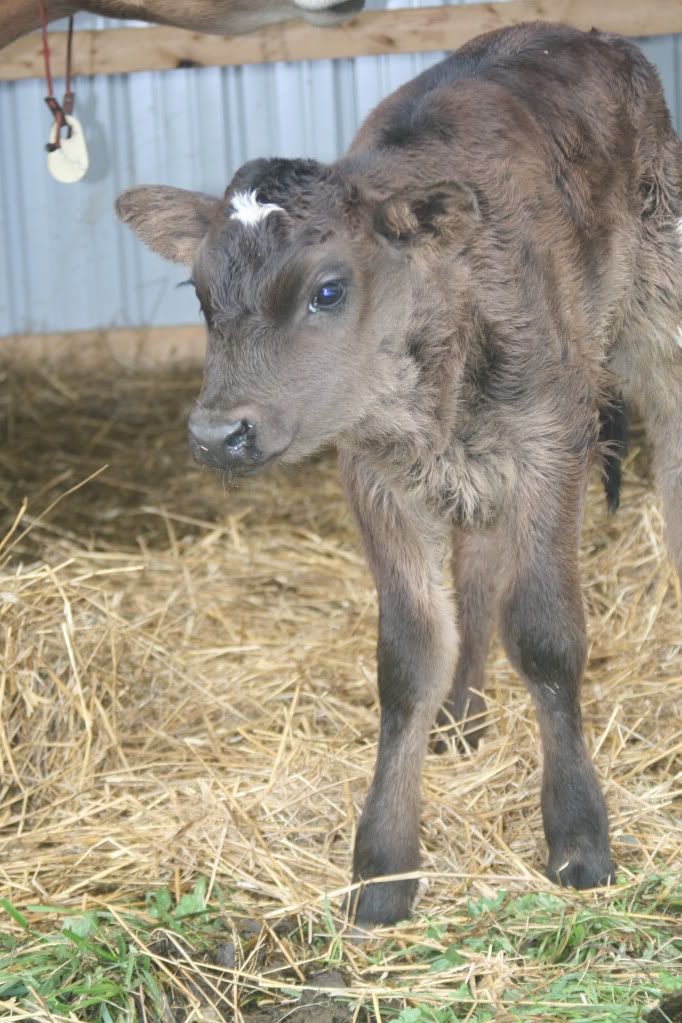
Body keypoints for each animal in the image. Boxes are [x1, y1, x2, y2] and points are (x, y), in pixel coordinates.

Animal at [116, 22, 682, 926]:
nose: (216, 433)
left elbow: (546, 634)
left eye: (328, 289)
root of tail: (579, 35)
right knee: (477, 575)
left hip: (654, 315)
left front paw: (580, 837)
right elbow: (411, 653)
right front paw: (383, 866)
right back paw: (461, 719)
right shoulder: (376, 478)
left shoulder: (551, 442)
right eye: (200, 295)